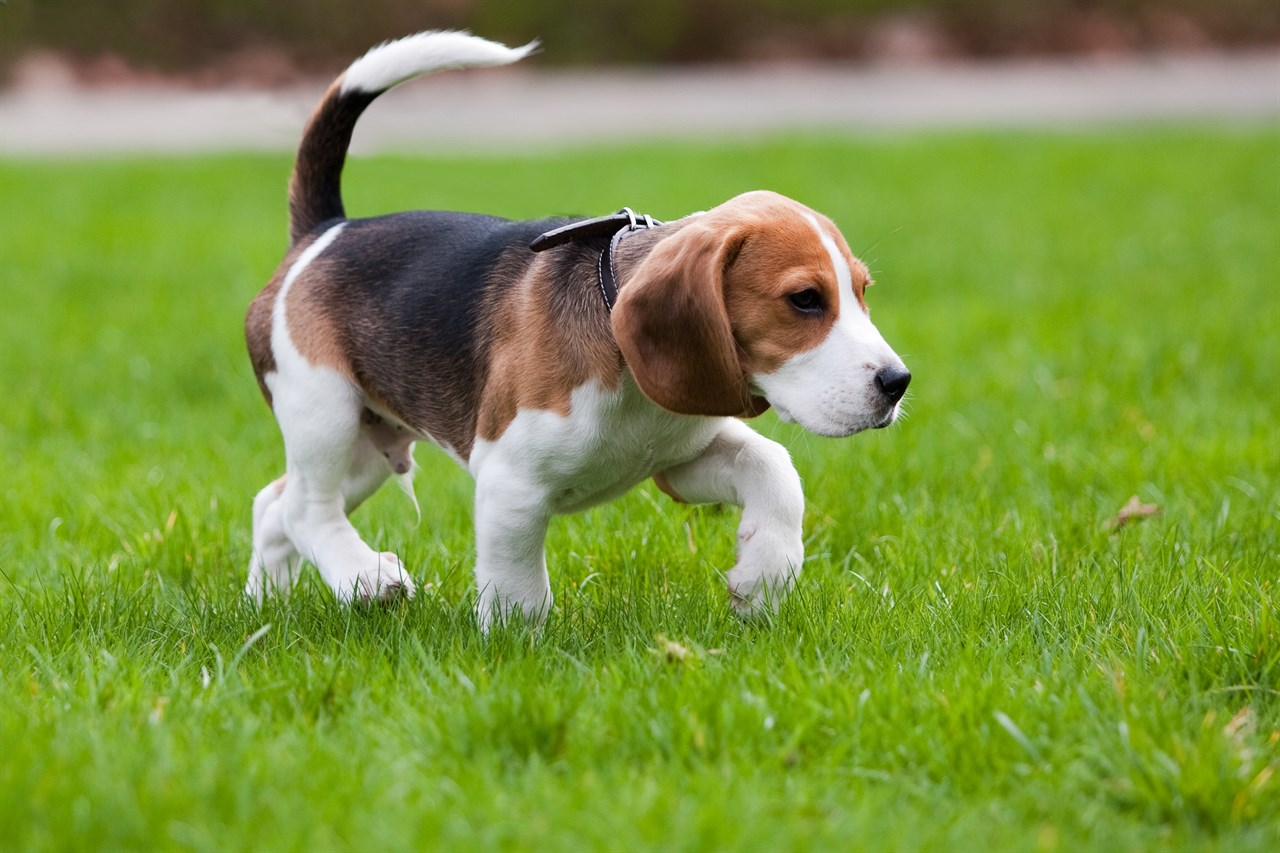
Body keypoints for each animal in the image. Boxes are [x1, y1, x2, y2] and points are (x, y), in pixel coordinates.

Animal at [241, 31, 911, 625]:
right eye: (804, 300)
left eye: (862, 292)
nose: (898, 382)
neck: (629, 375)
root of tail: (327, 231)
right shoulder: (509, 483)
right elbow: (517, 588)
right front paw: (516, 648)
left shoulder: (680, 459)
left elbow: (774, 468)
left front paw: (763, 578)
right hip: (323, 409)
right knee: (306, 509)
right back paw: (365, 577)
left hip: (369, 444)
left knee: (273, 504)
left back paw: (265, 605)